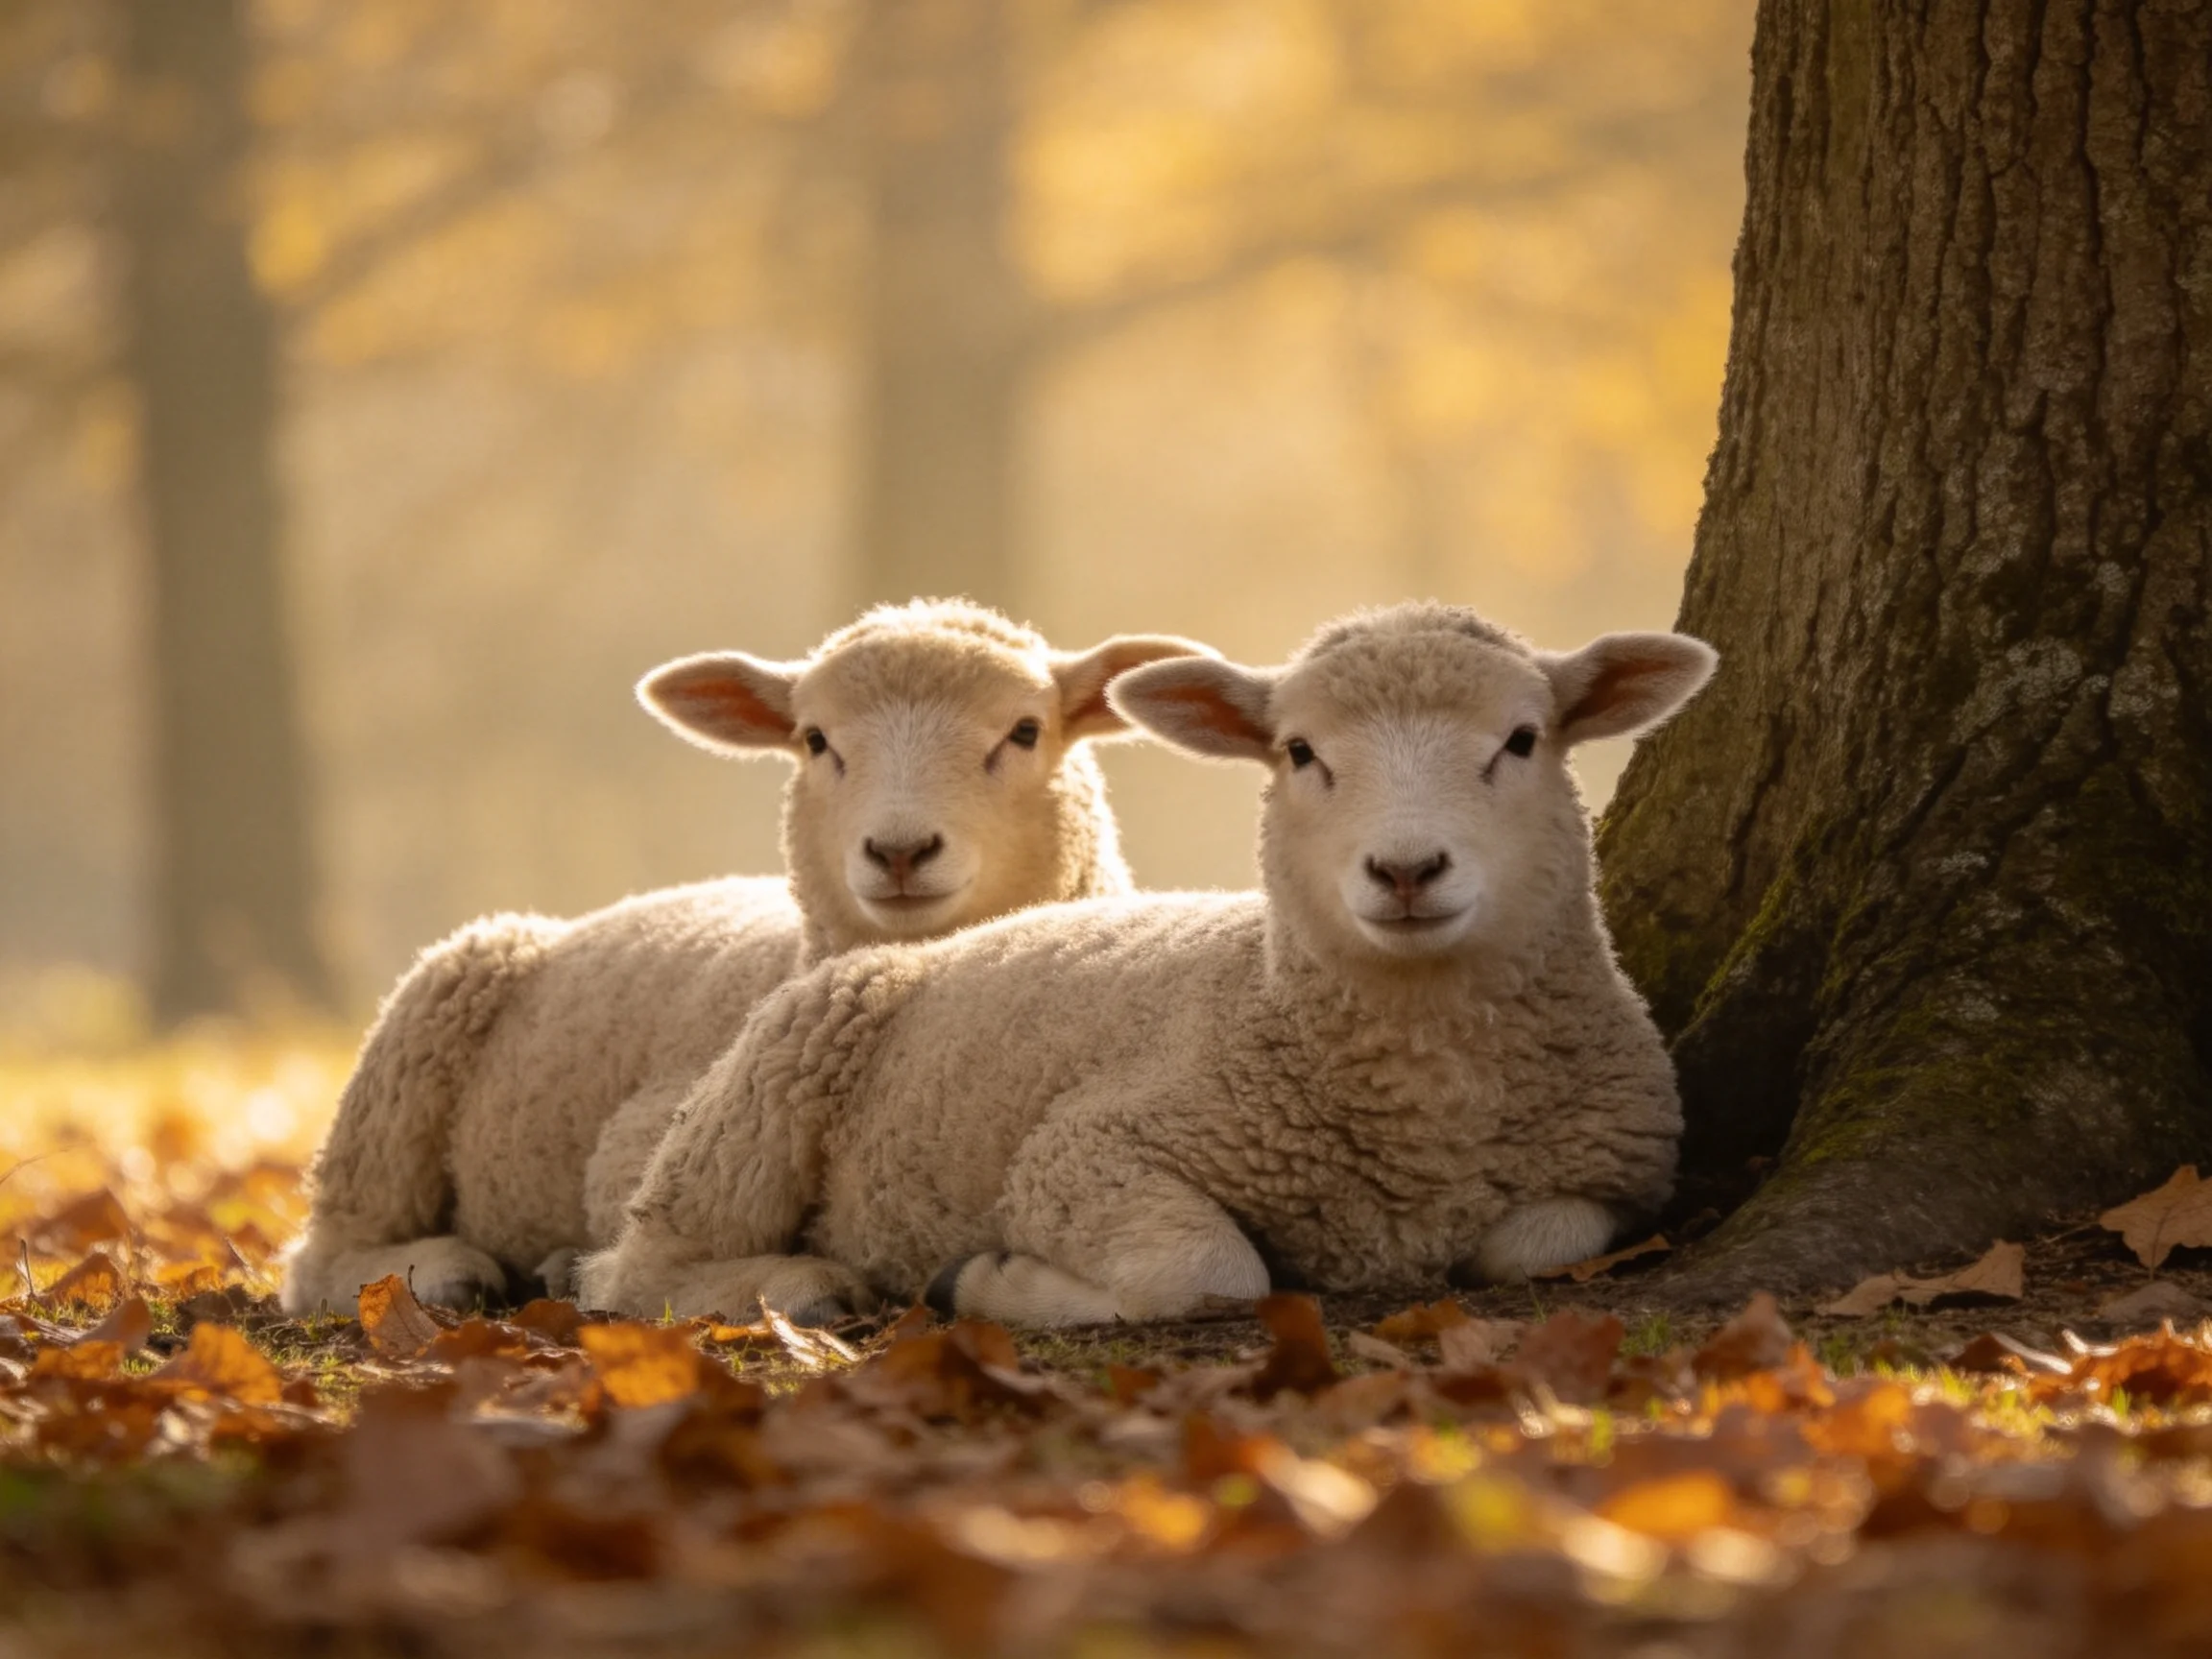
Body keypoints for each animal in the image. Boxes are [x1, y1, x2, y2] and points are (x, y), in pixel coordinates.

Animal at [279, 599, 1209, 1314]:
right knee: (327, 1249)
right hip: (417, 1039)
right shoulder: (644, 1133)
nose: (900, 851)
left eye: (1024, 730)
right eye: (815, 739)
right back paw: (448, 1269)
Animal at [576, 601, 1718, 1327]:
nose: (1406, 869)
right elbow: (1203, 1272)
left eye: (1521, 741)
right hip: (753, 1108)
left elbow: (1540, 1243)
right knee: (635, 1266)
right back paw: (801, 1286)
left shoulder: (1617, 1172)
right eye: (1300, 753)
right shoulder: (1085, 1152)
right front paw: (987, 1281)